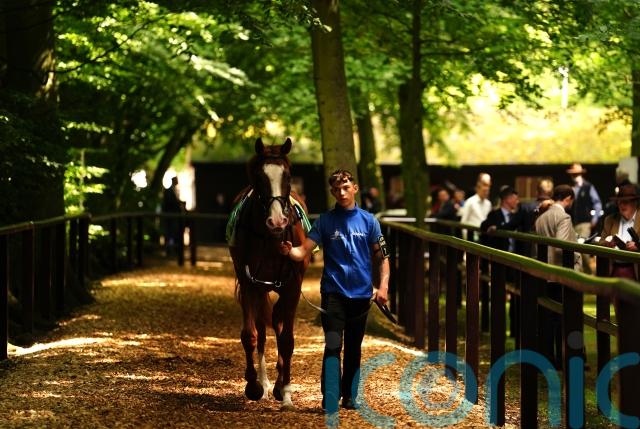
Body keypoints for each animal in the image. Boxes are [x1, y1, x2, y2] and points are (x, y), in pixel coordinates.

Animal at [228, 137, 310, 411]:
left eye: (288, 175)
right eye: (259, 177)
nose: (277, 221)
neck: (270, 239)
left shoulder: (292, 286)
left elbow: (287, 340)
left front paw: (286, 393)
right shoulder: (249, 284)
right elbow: (250, 335)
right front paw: (254, 386)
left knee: (277, 322)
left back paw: (277, 384)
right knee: (264, 329)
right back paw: (265, 384)